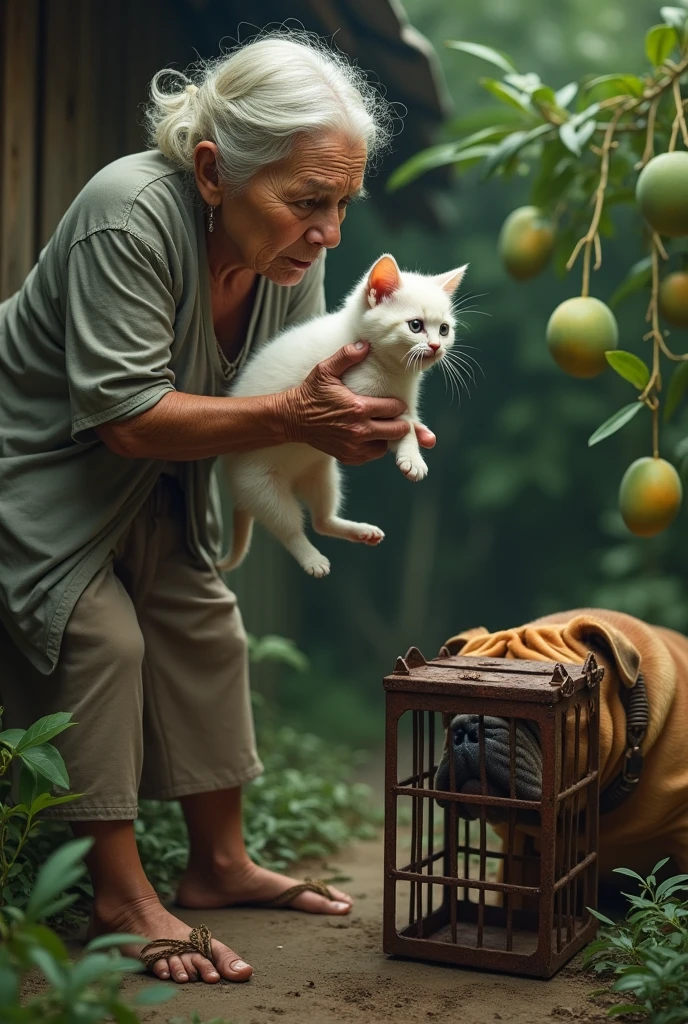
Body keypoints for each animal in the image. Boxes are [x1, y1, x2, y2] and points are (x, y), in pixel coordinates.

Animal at [220, 250, 466, 577]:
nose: (437, 346)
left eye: (444, 329)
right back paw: (312, 558)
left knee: (321, 520)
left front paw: (414, 446)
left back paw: (359, 530)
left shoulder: (402, 400)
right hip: (260, 486)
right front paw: (412, 459)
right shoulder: (355, 398)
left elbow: (409, 421)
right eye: (415, 325)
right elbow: (402, 425)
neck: (392, 370)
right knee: (289, 527)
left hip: (322, 472)